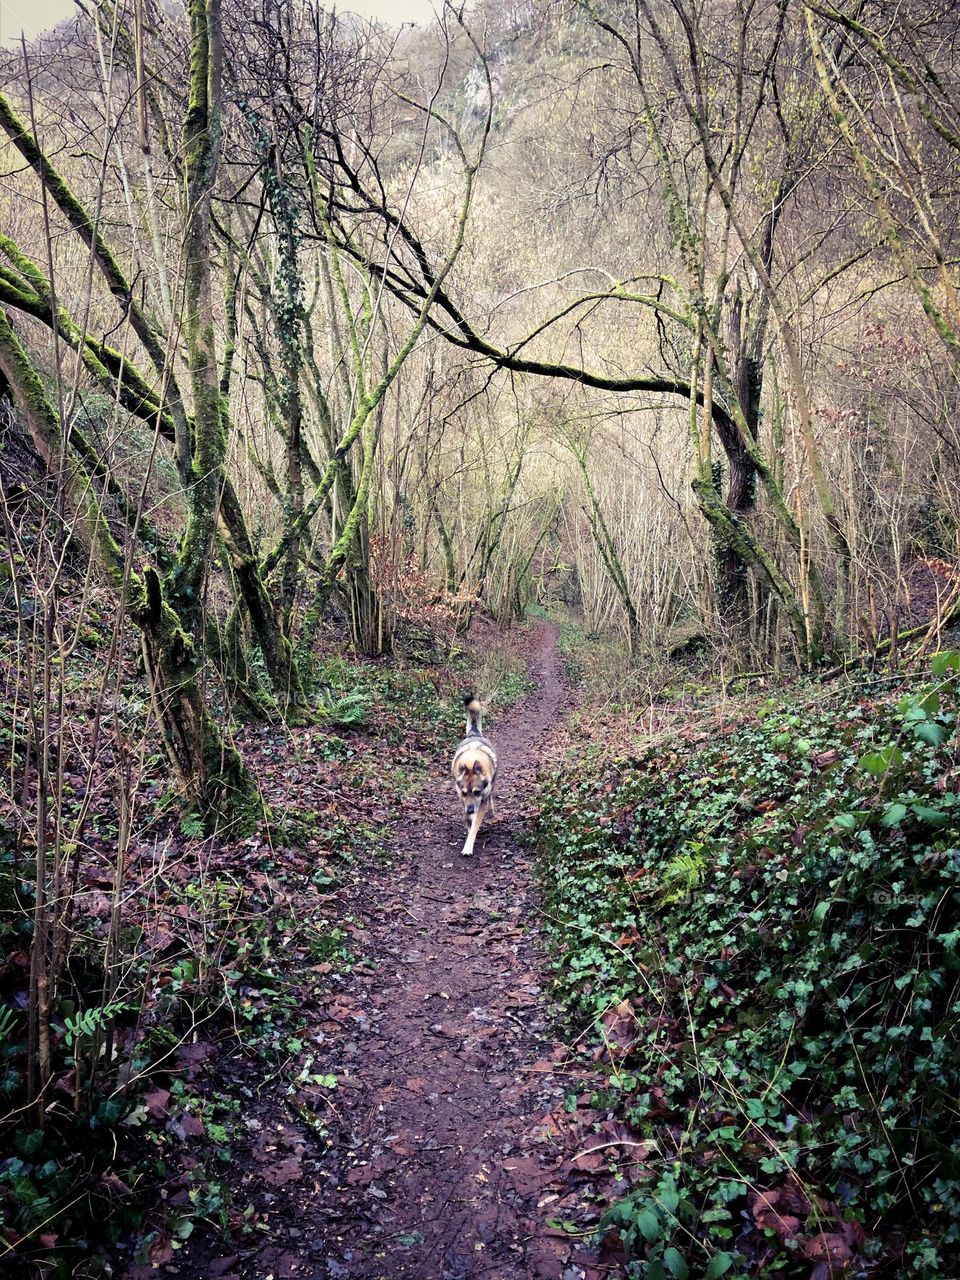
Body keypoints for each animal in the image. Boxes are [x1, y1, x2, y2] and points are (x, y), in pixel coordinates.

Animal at [450, 696, 496, 855]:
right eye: (465, 793)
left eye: (477, 792)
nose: (470, 809)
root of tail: (474, 733)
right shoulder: (462, 799)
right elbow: (467, 820)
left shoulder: (480, 803)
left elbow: (475, 825)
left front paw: (468, 846)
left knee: (491, 797)